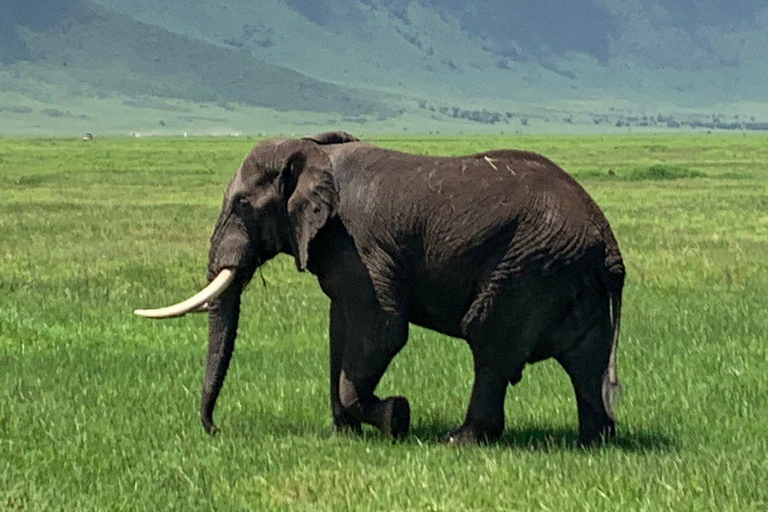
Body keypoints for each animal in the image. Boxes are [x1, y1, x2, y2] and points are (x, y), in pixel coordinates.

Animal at [135, 131, 624, 444]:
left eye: (241, 205)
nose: (215, 431)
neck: (312, 149)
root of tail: (606, 240)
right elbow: (340, 330)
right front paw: (343, 434)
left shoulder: (359, 244)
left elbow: (382, 329)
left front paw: (396, 418)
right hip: (568, 275)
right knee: (586, 360)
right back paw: (592, 442)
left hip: (527, 266)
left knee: (490, 342)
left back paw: (461, 439)